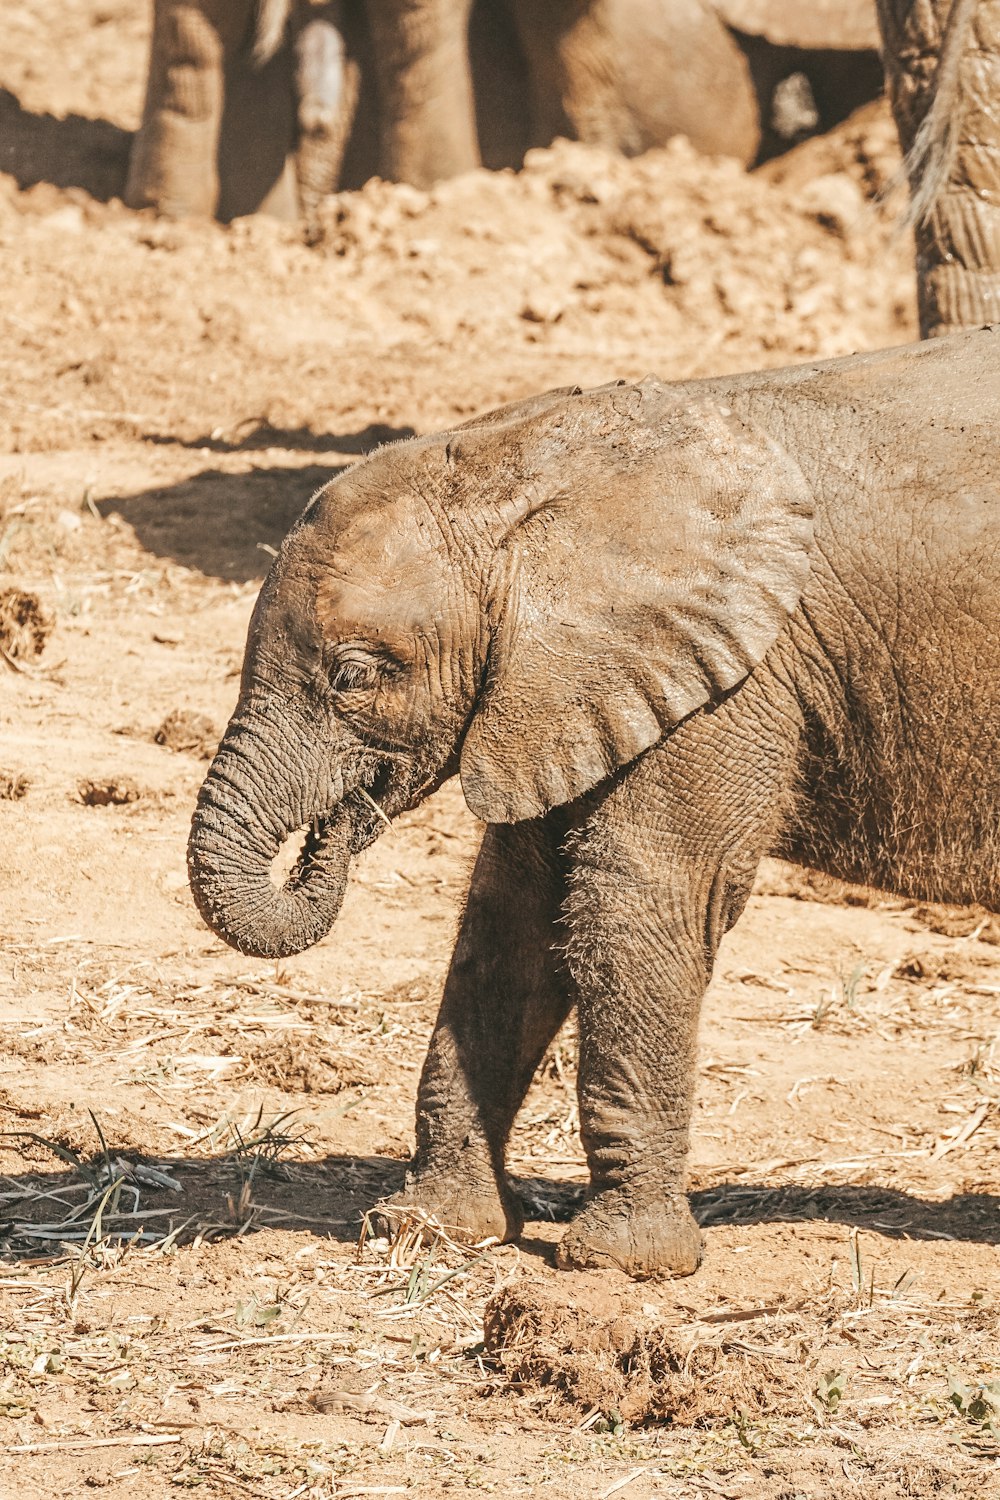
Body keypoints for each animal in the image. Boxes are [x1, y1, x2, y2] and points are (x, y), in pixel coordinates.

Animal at [189, 328, 1000, 1278]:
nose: (330, 831)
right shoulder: (561, 684)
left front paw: (621, 1264)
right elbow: (511, 917)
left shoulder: (733, 674)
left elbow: (634, 900)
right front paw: (428, 1231)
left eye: (353, 676)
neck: (535, 461)